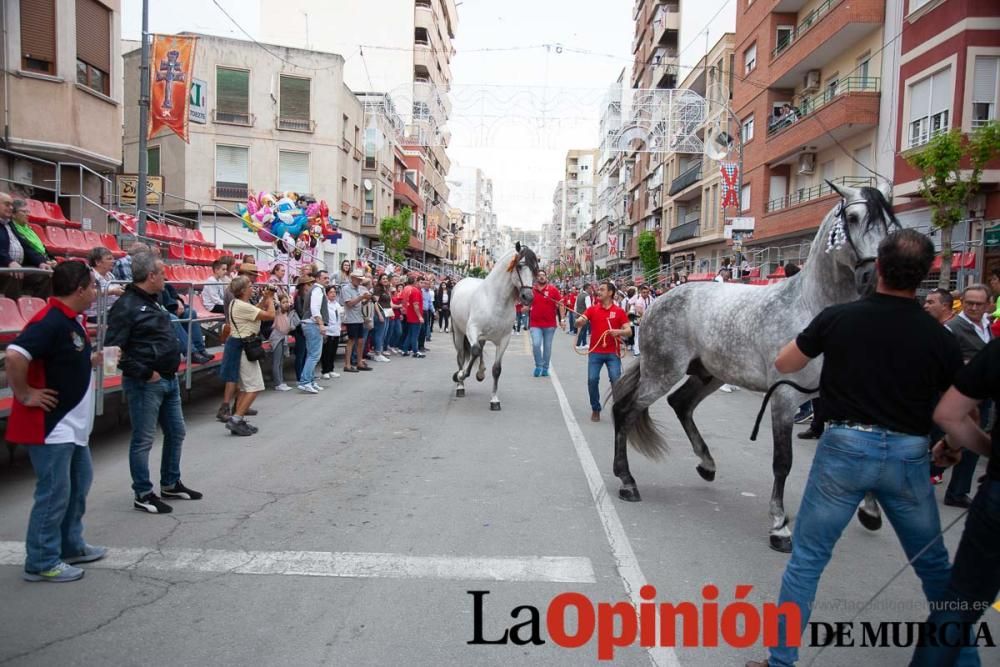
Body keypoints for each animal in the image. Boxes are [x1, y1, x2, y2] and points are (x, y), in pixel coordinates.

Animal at [452, 243, 540, 410]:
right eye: (520, 266)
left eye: (535, 269)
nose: (528, 297)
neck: (495, 300)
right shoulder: (472, 329)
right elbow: (473, 351)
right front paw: (460, 375)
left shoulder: (504, 339)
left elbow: (497, 369)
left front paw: (494, 400)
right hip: (459, 332)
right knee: (462, 356)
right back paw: (460, 384)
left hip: (482, 337)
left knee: (478, 351)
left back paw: (480, 373)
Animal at [608, 181, 900, 552]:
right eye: (853, 217)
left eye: (891, 222)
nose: (874, 276)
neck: (809, 309)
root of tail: (658, 300)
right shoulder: (785, 398)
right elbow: (783, 461)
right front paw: (779, 526)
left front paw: (871, 511)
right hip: (662, 372)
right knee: (626, 411)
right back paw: (627, 481)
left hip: (709, 374)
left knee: (680, 404)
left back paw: (706, 464)